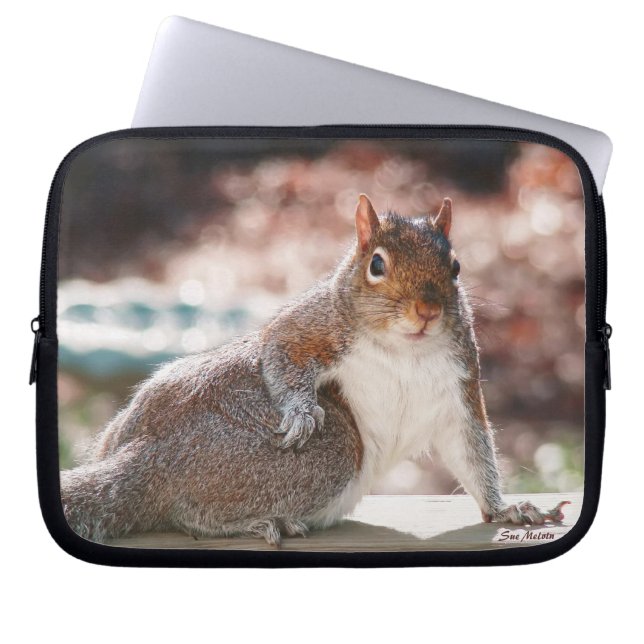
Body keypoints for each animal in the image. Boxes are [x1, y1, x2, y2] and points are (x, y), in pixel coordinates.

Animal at [61, 194, 569, 545]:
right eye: (377, 264)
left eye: (456, 266)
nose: (426, 310)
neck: (404, 349)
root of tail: (149, 455)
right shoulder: (314, 324)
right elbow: (281, 350)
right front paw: (301, 412)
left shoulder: (458, 388)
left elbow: (472, 452)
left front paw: (507, 511)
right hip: (325, 450)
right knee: (188, 514)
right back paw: (258, 521)